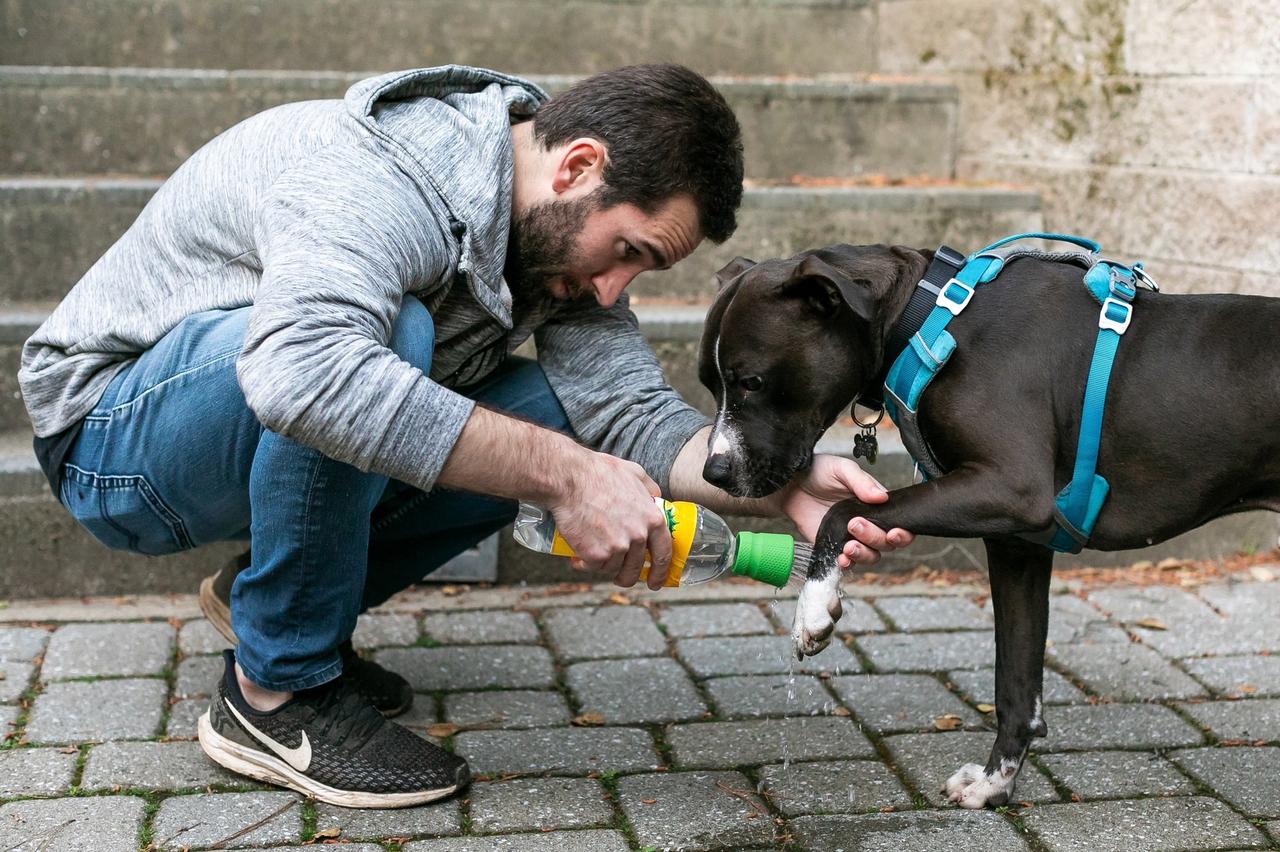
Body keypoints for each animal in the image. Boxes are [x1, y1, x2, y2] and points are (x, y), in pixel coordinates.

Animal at [697, 243, 1280, 808]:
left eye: (752, 382)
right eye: (709, 383)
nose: (712, 472)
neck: (932, 315)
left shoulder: (1010, 490)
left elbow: (841, 512)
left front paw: (814, 607)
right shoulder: (1017, 543)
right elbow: (1016, 685)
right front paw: (995, 784)